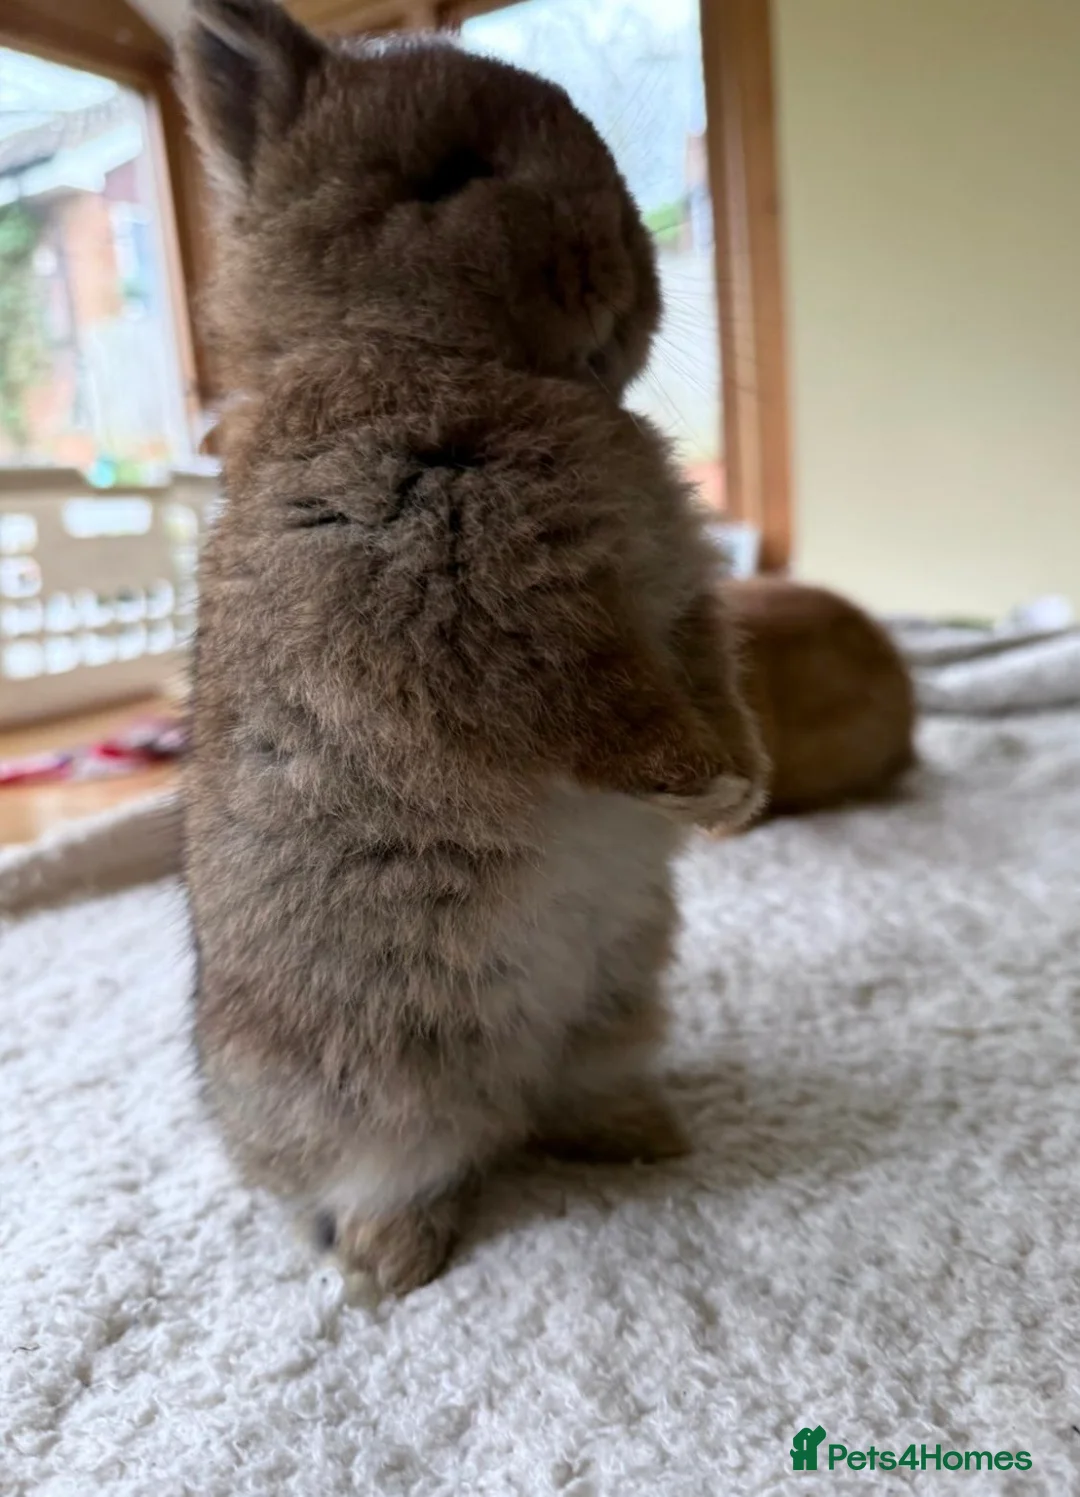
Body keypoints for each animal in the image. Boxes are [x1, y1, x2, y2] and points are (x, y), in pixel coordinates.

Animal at [179, 0, 767, 1295]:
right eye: (446, 179)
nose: (631, 260)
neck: (426, 351)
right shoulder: (466, 598)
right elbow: (594, 704)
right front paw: (701, 785)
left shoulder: (675, 598)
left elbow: (703, 672)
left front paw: (745, 792)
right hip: (375, 1087)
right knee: (399, 1171)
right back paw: (392, 1266)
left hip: (614, 1003)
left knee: (563, 1103)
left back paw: (644, 1137)